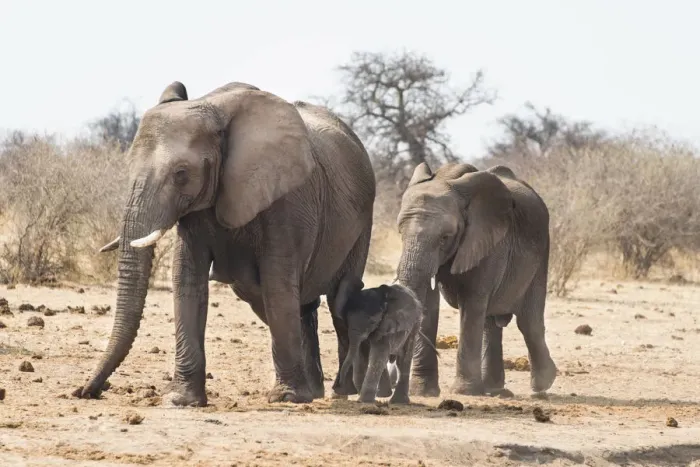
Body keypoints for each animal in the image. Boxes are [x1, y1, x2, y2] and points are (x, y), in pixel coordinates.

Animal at [74, 80, 378, 406]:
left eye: (181, 174)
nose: (86, 391)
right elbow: (187, 279)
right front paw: (181, 400)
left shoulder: (287, 200)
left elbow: (277, 283)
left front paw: (285, 397)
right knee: (290, 304)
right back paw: (314, 391)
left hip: (362, 222)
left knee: (339, 298)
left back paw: (342, 391)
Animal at [395, 162, 557, 398]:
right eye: (400, 232)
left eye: (445, 238)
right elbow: (428, 304)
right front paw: (424, 393)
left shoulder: (487, 241)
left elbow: (472, 303)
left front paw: (464, 392)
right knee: (490, 322)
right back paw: (493, 389)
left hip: (541, 253)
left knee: (528, 322)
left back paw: (542, 385)